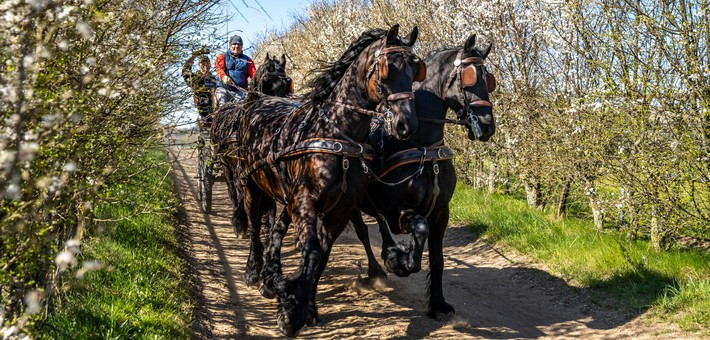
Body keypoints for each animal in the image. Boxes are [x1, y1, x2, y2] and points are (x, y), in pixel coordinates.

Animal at [239, 25, 426, 336]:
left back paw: (270, 275)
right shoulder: (304, 202)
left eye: (414, 70)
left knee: (276, 228)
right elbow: (312, 252)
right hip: (252, 186)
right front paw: (291, 311)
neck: (336, 134)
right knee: (255, 225)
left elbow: (321, 258)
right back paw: (254, 270)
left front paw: (307, 306)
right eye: (388, 70)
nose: (406, 125)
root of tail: (258, 103)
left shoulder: (340, 209)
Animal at [352, 33, 500, 318]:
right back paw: (376, 269)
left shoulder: (441, 212)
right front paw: (401, 261)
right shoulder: (398, 210)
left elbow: (437, 259)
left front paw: (437, 302)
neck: (422, 146)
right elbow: (419, 231)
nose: (487, 126)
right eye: (470, 77)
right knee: (362, 230)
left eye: (489, 80)